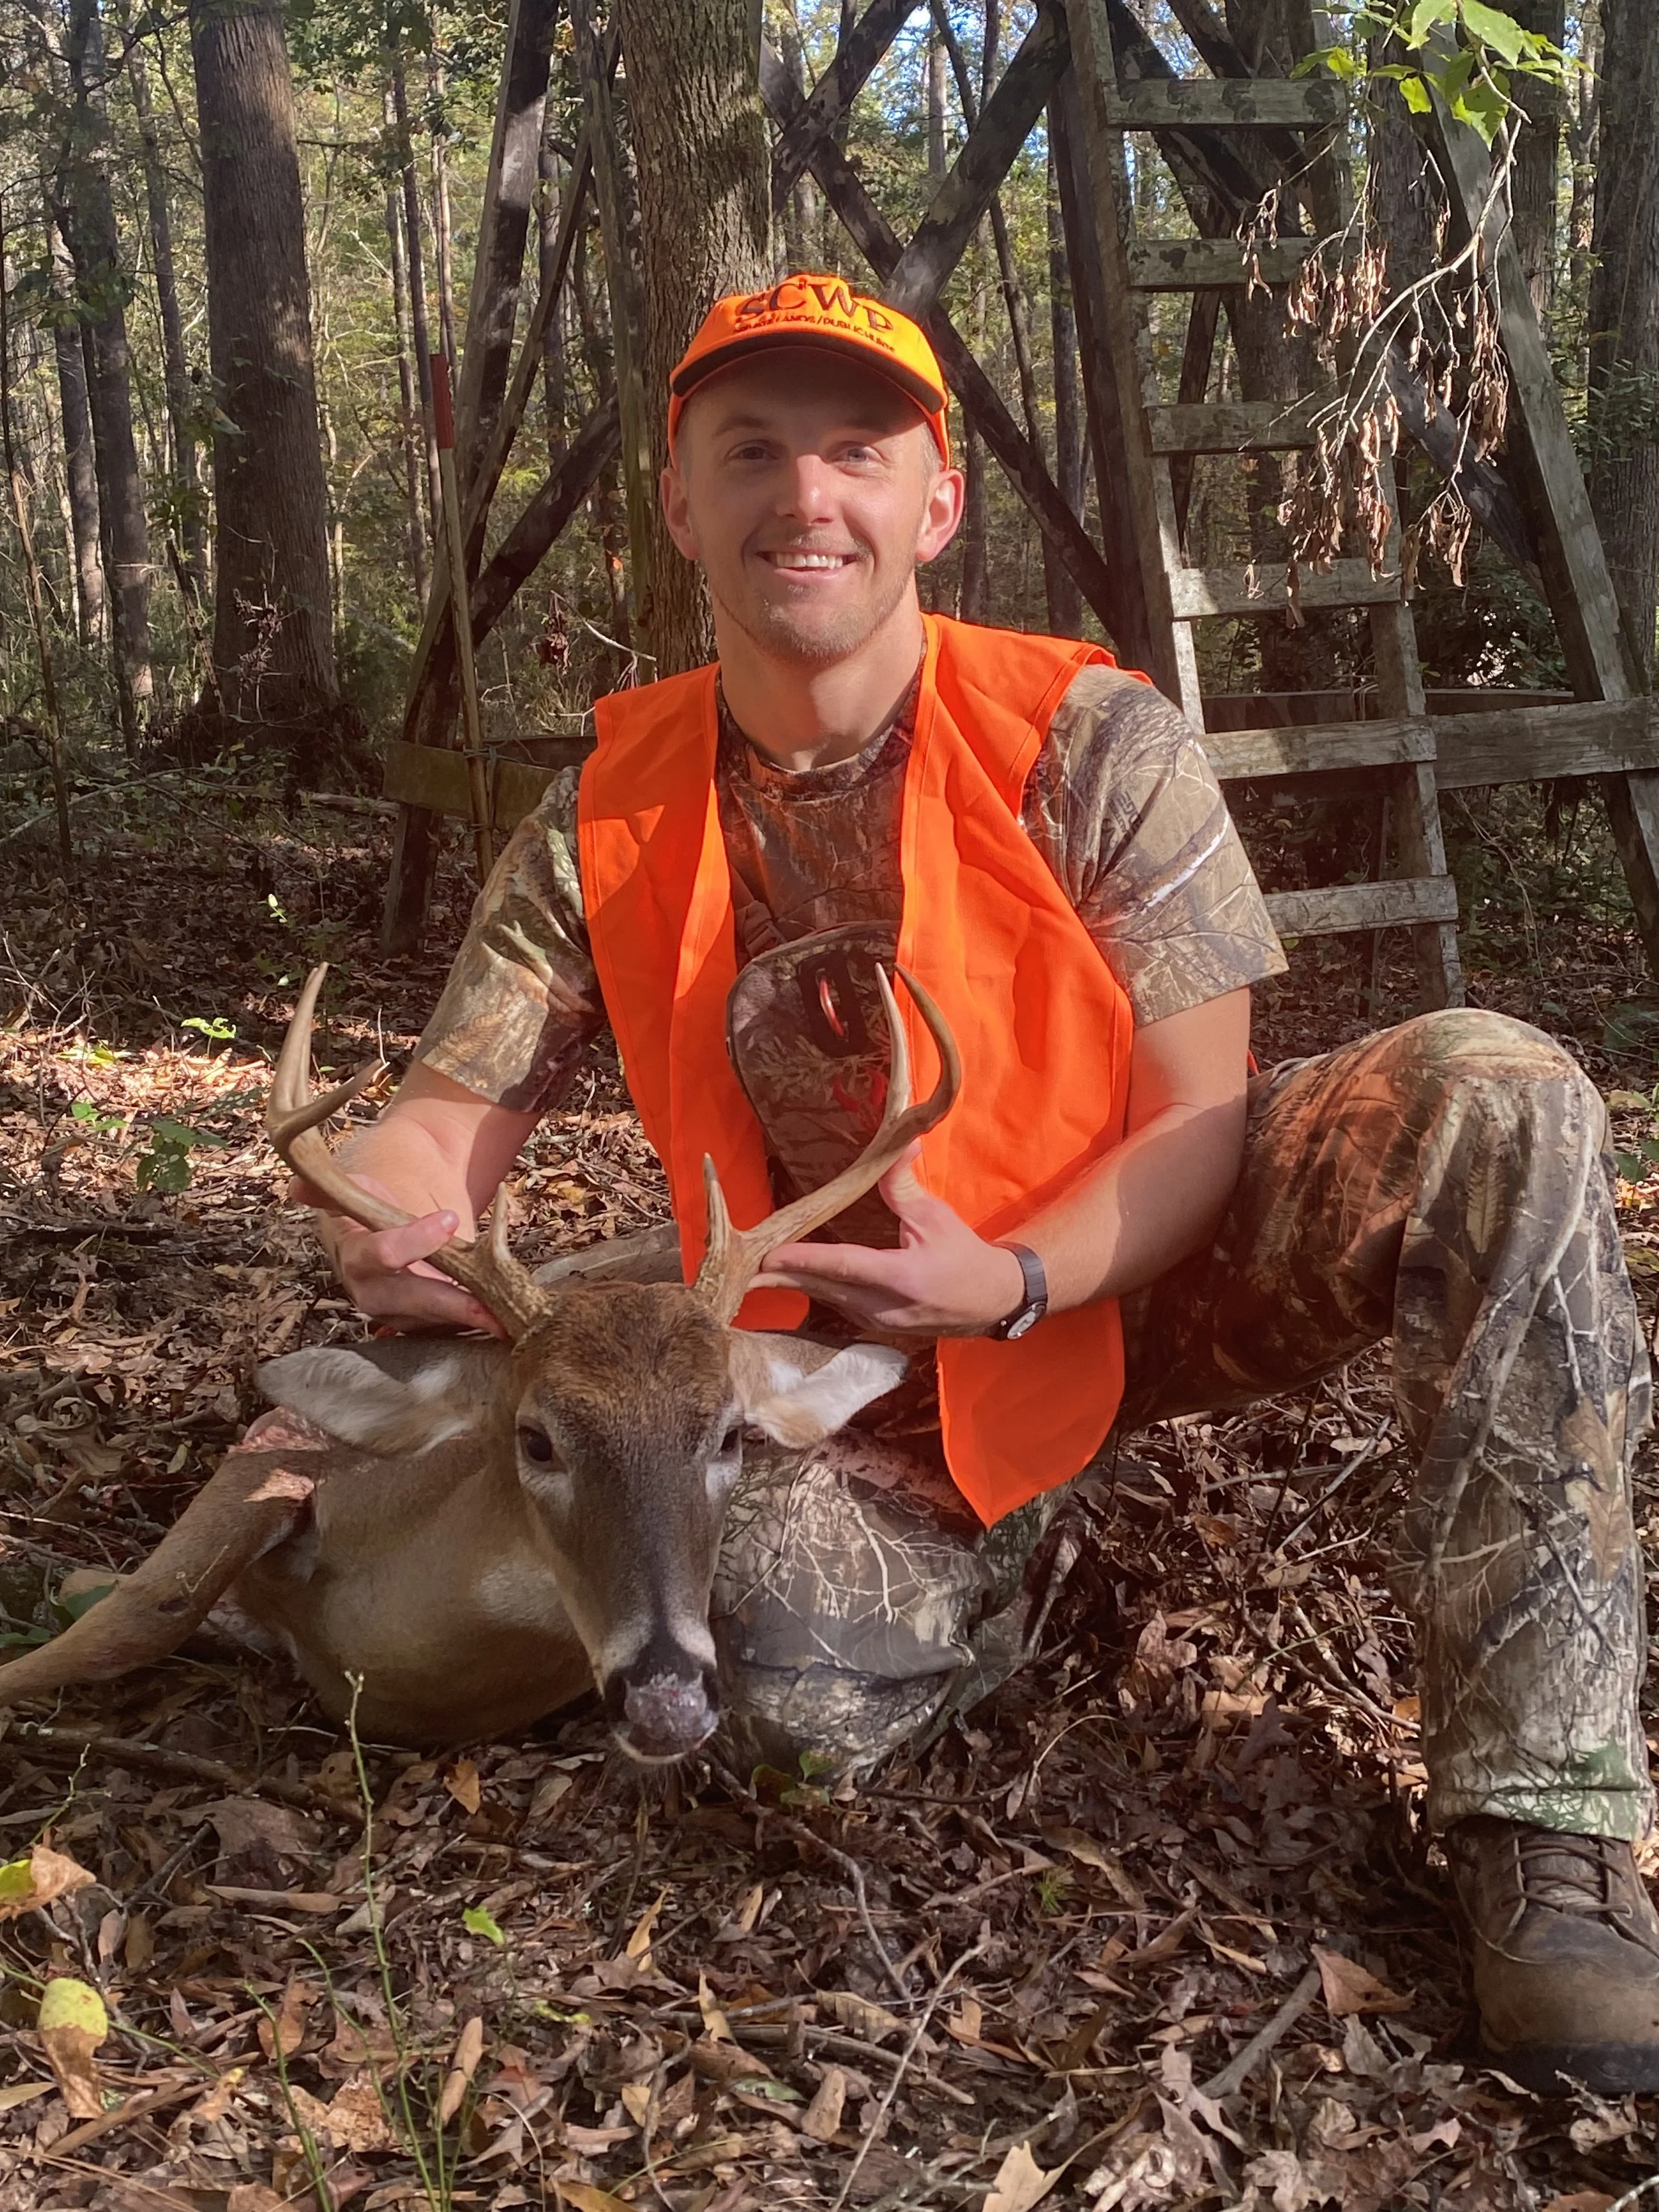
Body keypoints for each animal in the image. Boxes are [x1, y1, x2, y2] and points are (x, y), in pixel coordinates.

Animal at [0, 962, 959, 1759]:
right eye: (536, 1439)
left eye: (730, 1436)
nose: (668, 1703)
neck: (371, 1636)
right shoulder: (276, 1452)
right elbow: (136, 1615)